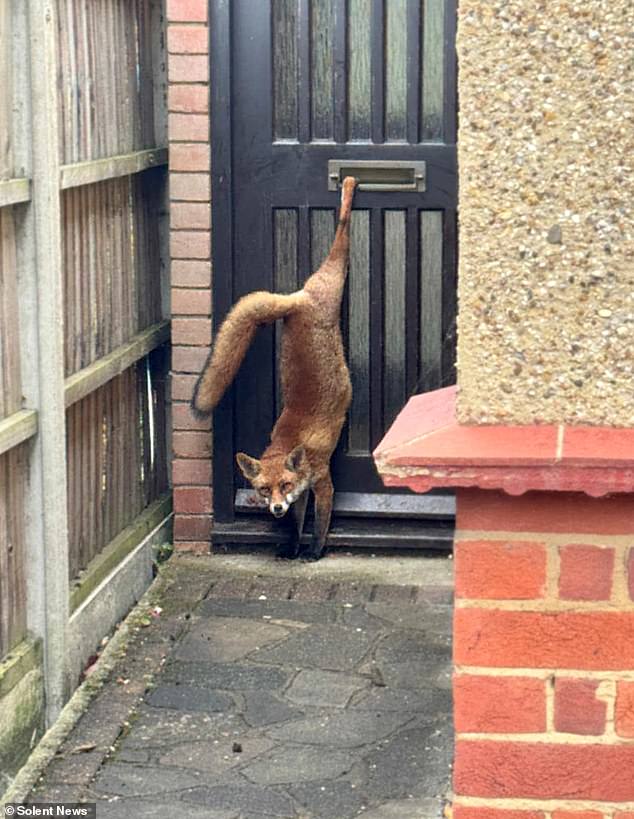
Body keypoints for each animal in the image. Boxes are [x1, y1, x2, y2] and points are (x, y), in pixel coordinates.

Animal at [191, 176, 357, 561]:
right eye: (266, 490)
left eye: (284, 484)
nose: (276, 508)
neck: (291, 444)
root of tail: (297, 301)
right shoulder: (303, 493)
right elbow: (297, 524)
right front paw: (293, 549)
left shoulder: (323, 483)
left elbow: (320, 525)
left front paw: (315, 553)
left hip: (335, 278)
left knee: (341, 235)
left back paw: (349, 188)